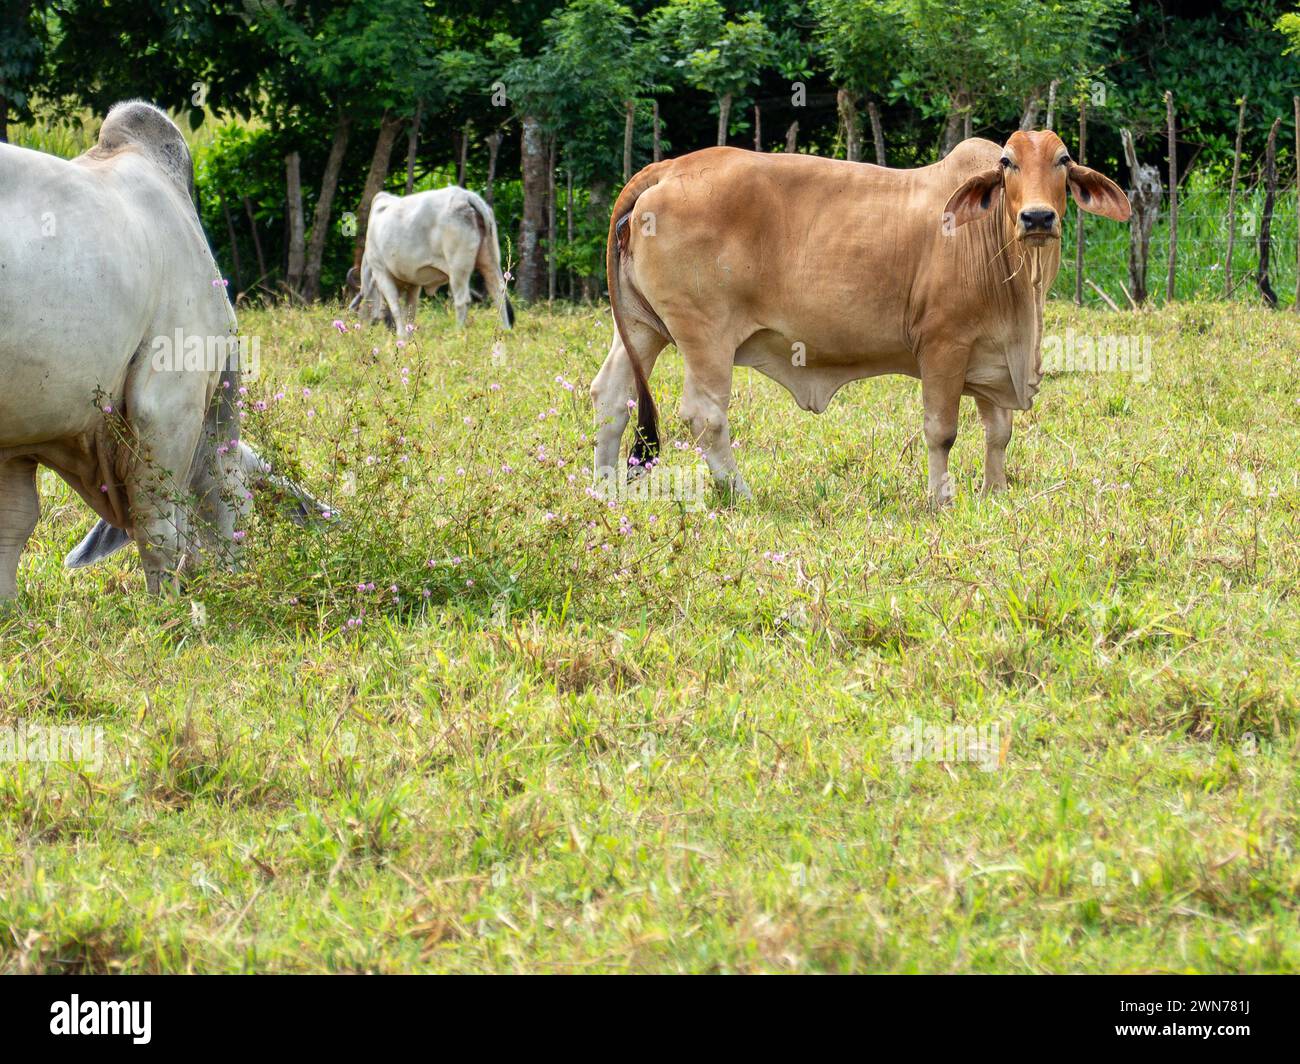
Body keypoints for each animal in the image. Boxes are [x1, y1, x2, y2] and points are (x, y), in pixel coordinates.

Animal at [0, 99, 322, 598]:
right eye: (246, 499)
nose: (235, 579)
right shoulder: (170, 401)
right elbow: (161, 527)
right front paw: (167, 607)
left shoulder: (17, 439)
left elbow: (13, 524)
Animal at [348, 184, 514, 329]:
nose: (362, 325)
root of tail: (466, 197)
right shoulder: (413, 282)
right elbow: (410, 313)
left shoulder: (381, 272)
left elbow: (396, 309)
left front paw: (401, 338)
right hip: (490, 260)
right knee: (499, 293)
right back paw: (505, 332)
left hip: (458, 267)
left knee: (462, 301)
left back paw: (458, 333)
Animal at [590, 130, 1128, 504]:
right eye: (1007, 162)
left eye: (1063, 160)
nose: (1037, 218)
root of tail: (667, 167)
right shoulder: (943, 345)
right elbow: (942, 430)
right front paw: (942, 499)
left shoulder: (991, 355)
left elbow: (999, 432)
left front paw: (993, 494)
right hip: (706, 336)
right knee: (705, 415)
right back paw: (741, 493)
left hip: (640, 328)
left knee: (612, 396)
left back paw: (604, 491)